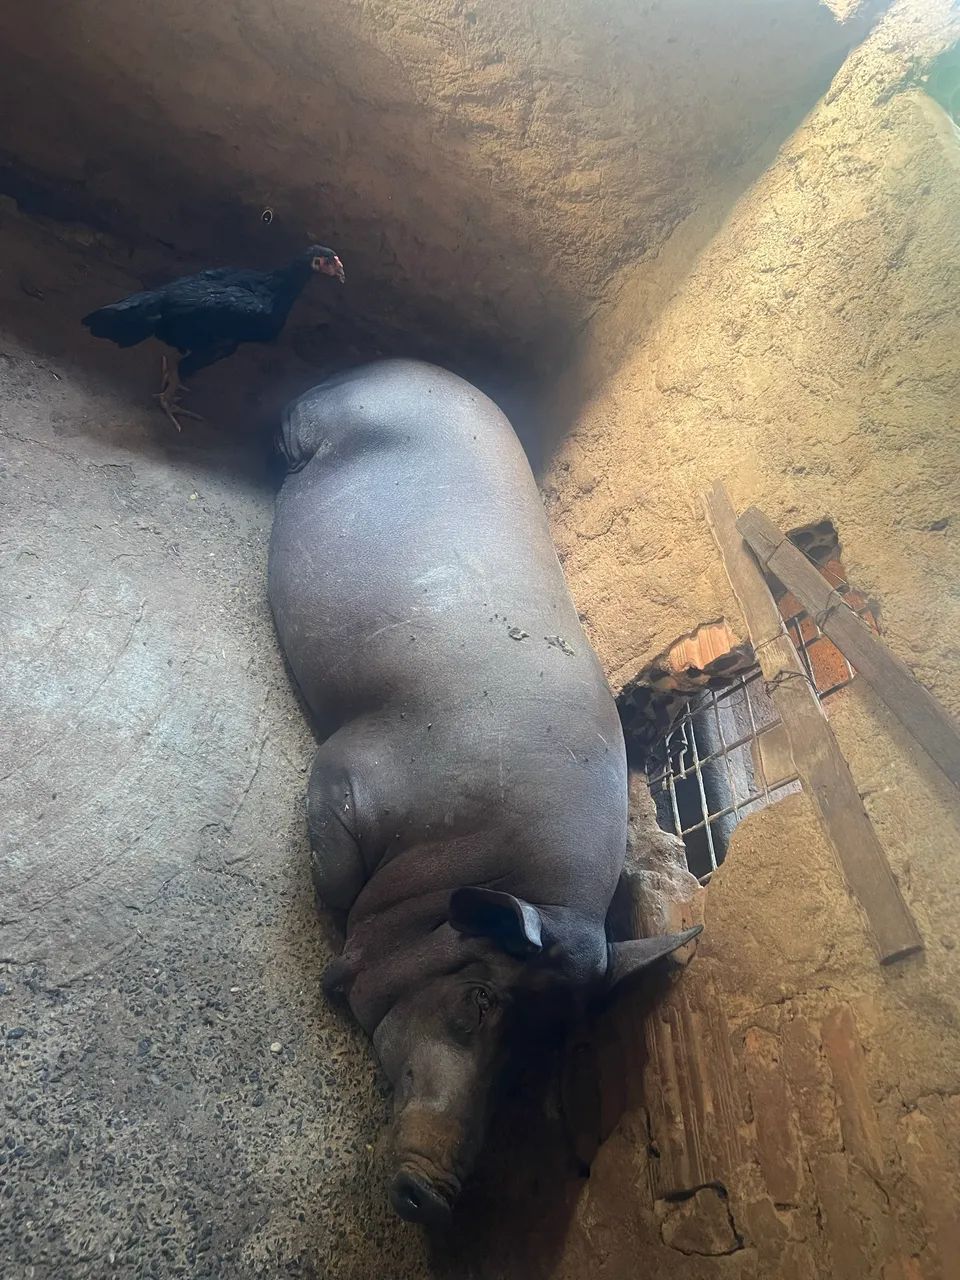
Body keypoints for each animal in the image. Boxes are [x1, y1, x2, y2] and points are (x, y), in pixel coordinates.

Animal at [268, 359, 699, 1227]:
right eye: (479, 1000)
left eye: (544, 1056)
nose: (435, 1198)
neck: (462, 863)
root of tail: (388, 363)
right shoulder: (349, 774)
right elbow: (332, 870)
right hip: (317, 420)